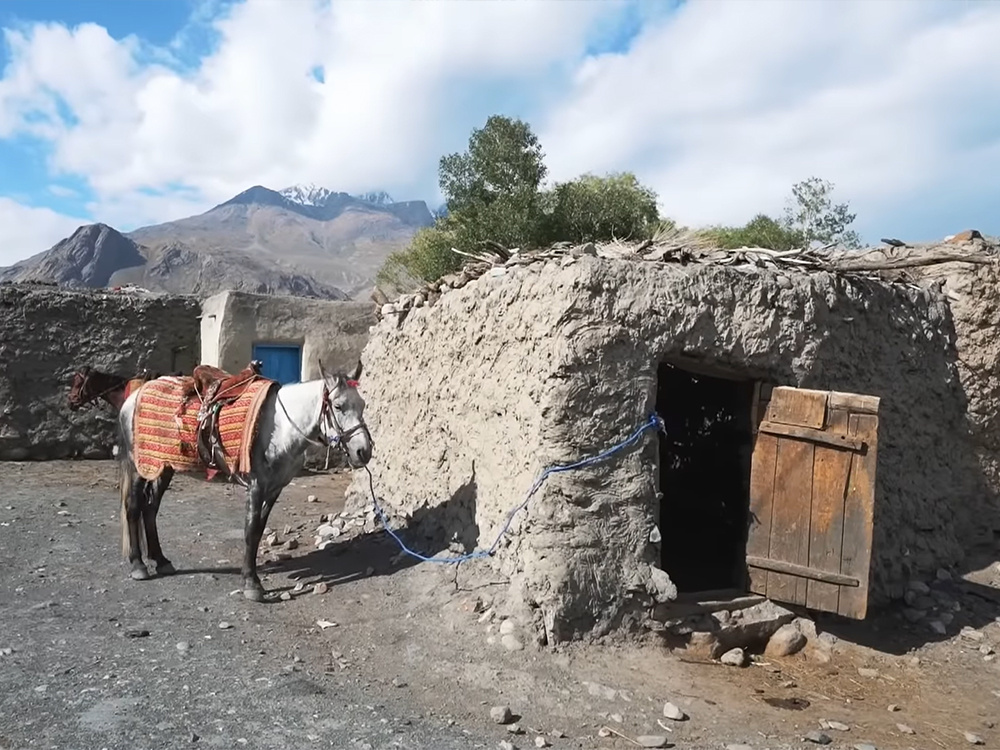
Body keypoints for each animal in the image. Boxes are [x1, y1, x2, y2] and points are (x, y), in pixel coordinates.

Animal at [114, 362, 372, 604]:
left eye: (363, 405)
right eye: (338, 406)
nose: (364, 451)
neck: (279, 428)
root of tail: (133, 398)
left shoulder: (275, 488)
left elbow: (259, 529)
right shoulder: (256, 486)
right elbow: (250, 530)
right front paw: (252, 583)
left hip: (163, 468)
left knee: (150, 509)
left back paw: (161, 560)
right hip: (139, 468)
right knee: (133, 508)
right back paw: (138, 565)